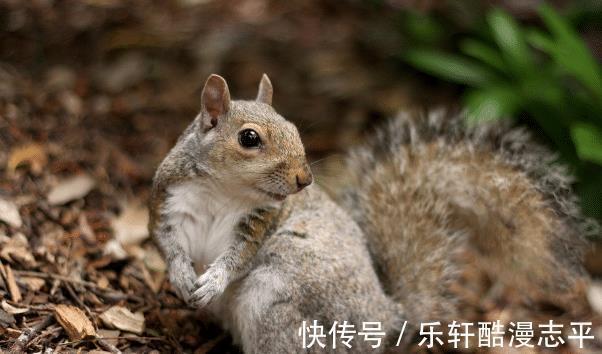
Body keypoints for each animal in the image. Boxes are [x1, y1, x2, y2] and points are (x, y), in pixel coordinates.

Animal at [150, 73, 592, 352]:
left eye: (295, 130)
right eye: (249, 138)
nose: (304, 179)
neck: (223, 191)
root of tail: (387, 319)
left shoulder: (258, 223)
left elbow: (237, 258)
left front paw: (213, 280)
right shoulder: (170, 202)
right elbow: (168, 244)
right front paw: (182, 275)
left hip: (278, 299)